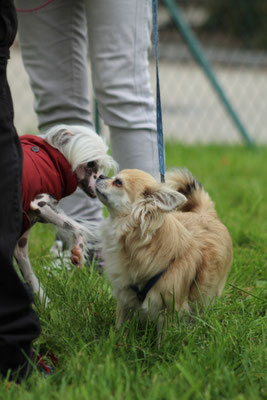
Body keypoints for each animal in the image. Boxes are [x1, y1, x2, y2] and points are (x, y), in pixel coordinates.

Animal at [96, 169, 232, 334]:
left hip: (207, 294)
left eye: (118, 182)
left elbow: (165, 337)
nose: (100, 175)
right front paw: (116, 338)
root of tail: (204, 212)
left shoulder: (170, 309)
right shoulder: (124, 296)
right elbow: (120, 324)